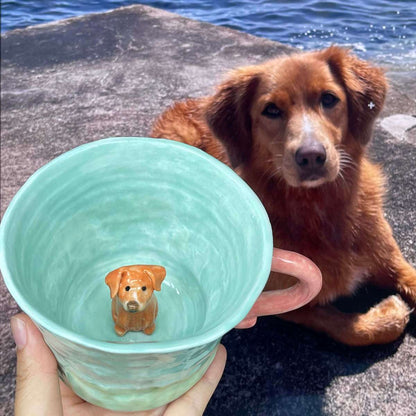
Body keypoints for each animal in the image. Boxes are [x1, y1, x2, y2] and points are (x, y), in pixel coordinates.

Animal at [152, 45, 416, 346]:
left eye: (329, 98)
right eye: (271, 110)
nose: (312, 156)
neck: (318, 207)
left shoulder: (393, 261)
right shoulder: (289, 302)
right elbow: (348, 328)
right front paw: (390, 312)